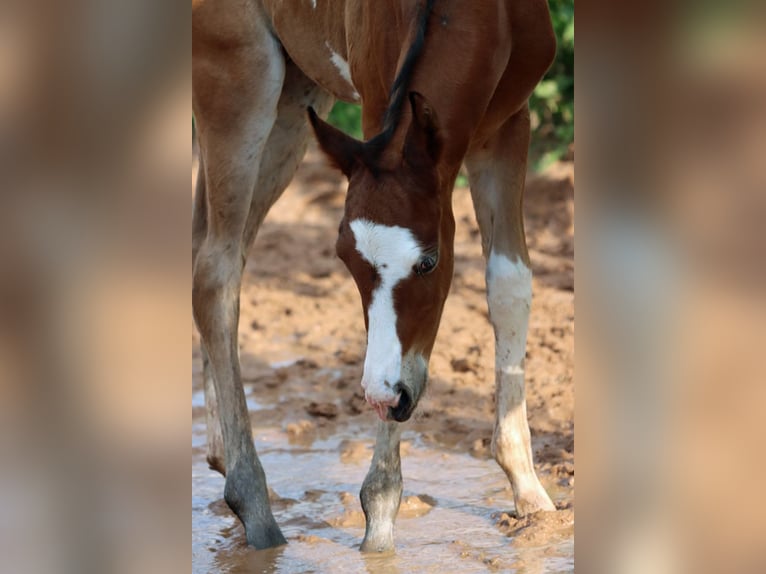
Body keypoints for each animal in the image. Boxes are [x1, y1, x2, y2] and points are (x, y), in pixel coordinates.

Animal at [192, 0, 558, 552]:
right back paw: (253, 502)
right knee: (216, 276)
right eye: (346, 261)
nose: (387, 397)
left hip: (295, 101)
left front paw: (528, 490)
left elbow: (510, 285)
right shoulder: (376, 105)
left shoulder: (509, 124)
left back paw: (220, 453)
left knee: (212, 252)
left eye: (429, 262)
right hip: (238, 76)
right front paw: (381, 513)